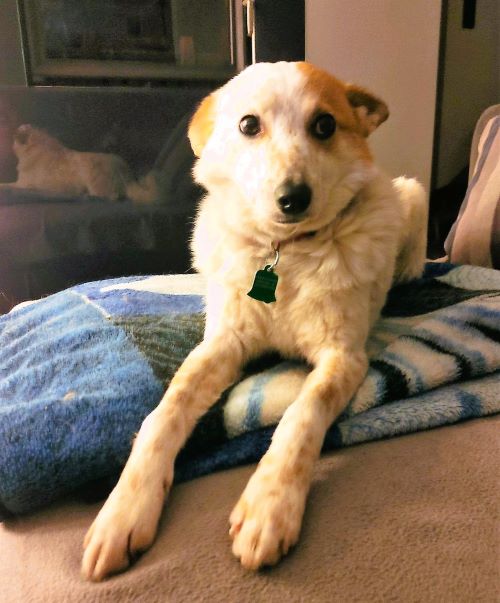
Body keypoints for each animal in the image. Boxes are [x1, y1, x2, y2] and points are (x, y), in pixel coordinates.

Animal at [1, 124, 136, 201]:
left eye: (14, 140)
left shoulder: (22, 184)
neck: (34, 148)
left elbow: (5, 184)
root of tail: (122, 168)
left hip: (94, 180)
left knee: (111, 196)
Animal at [82, 61, 427, 580]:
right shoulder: (222, 344)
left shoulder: (344, 356)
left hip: (410, 192)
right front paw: (123, 512)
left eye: (325, 125)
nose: (293, 198)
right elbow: (163, 414)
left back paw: (411, 267)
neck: (286, 254)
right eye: (248, 125)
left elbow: (302, 415)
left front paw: (269, 507)